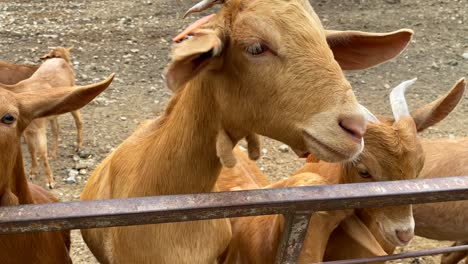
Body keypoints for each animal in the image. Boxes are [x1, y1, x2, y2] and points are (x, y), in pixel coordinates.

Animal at [0, 47, 83, 188]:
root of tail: (63, 59)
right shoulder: (27, 131)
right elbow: (31, 150)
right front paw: (33, 172)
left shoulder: (39, 128)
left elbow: (42, 152)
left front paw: (50, 181)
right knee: (56, 129)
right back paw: (53, 154)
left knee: (79, 121)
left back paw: (79, 146)